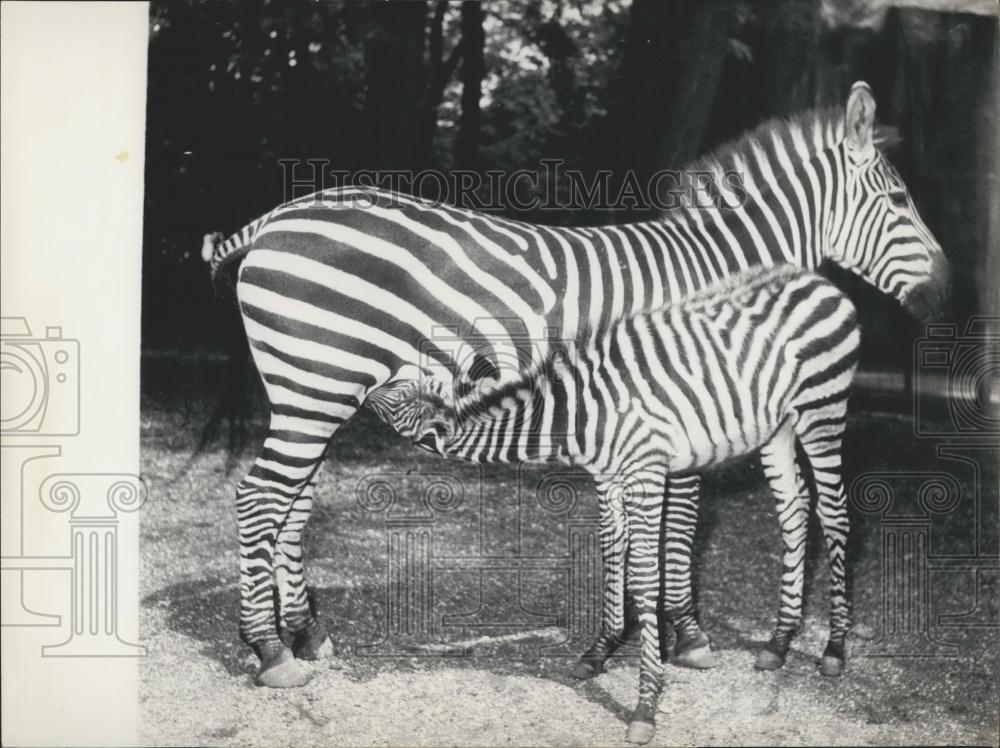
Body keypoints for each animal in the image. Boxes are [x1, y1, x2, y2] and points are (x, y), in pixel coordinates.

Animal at [209, 80, 944, 684]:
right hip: (315, 384)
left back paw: (307, 634)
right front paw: (687, 634)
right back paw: (269, 651)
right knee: (259, 497)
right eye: (899, 200)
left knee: (293, 502)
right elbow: (681, 524)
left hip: (313, 392)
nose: (946, 292)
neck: (724, 275)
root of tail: (278, 217)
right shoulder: (688, 401)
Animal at [378, 264, 864, 744]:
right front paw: (600, 650)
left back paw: (834, 647)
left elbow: (646, 578)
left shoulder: (646, 472)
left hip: (822, 411)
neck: (573, 414)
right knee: (794, 510)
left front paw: (645, 704)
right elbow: (612, 556)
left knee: (835, 513)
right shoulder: (608, 479)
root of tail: (815, 280)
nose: (367, 384)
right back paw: (779, 641)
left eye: (396, 397)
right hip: (777, 426)